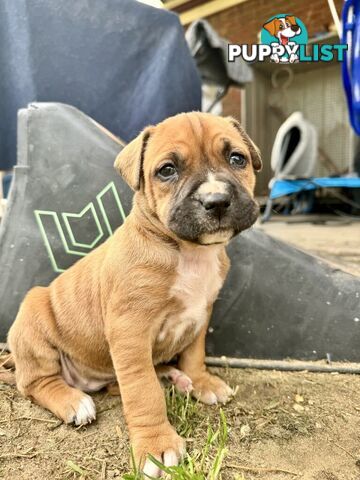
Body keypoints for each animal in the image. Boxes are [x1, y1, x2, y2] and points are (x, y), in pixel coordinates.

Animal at [7, 112, 262, 476]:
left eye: (237, 159)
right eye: (167, 170)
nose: (216, 201)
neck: (187, 251)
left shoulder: (202, 312)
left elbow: (194, 353)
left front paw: (201, 381)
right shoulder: (130, 331)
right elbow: (143, 391)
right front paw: (156, 445)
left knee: (121, 382)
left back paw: (174, 377)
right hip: (34, 323)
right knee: (36, 383)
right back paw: (73, 401)